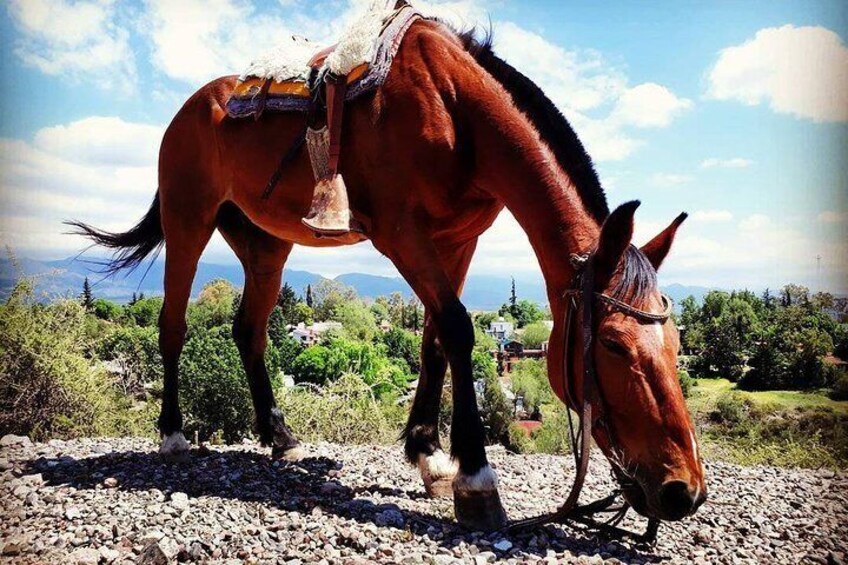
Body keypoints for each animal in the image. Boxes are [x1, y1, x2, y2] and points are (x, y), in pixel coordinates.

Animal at [73, 17, 704, 528]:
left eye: (677, 343)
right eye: (615, 347)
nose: (684, 491)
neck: (455, 107)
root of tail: (188, 110)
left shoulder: (458, 239)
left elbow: (435, 339)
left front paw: (431, 455)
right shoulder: (402, 234)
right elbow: (458, 329)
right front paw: (475, 479)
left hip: (265, 245)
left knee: (248, 330)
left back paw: (281, 438)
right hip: (188, 220)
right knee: (173, 324)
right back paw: (173, 434)